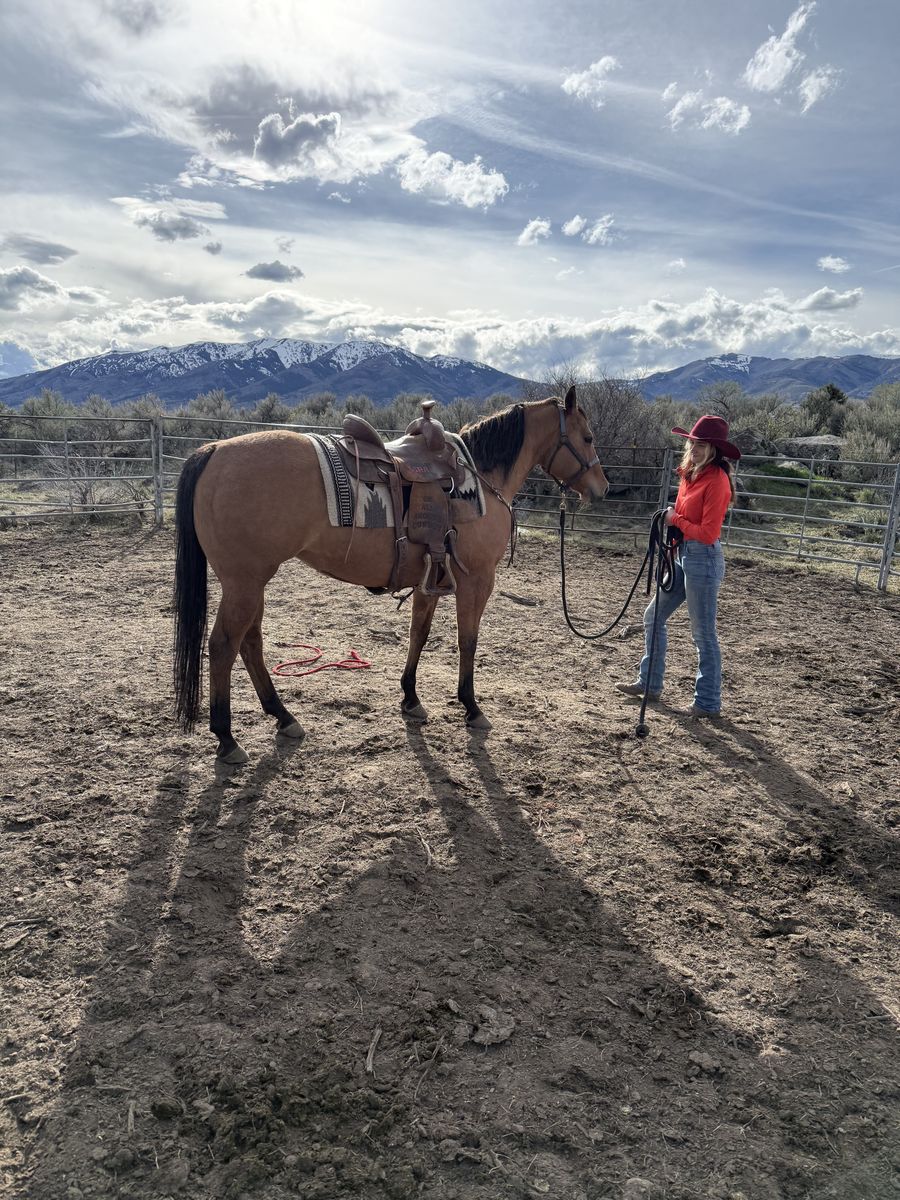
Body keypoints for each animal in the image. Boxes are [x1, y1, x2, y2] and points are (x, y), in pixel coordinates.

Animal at [172, 387, 608, 762]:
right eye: (588, 437)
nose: (602, 488)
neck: (483, 478)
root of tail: (213, 450)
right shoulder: (477, 581)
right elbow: (468, 641)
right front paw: (470, 705)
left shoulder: (431, 578)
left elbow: (419, 633)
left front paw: (411, 698)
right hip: (244, 584)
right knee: (224, 646)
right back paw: (227, 738)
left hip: (251, 583)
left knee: (250, 644)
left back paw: (283, 716)